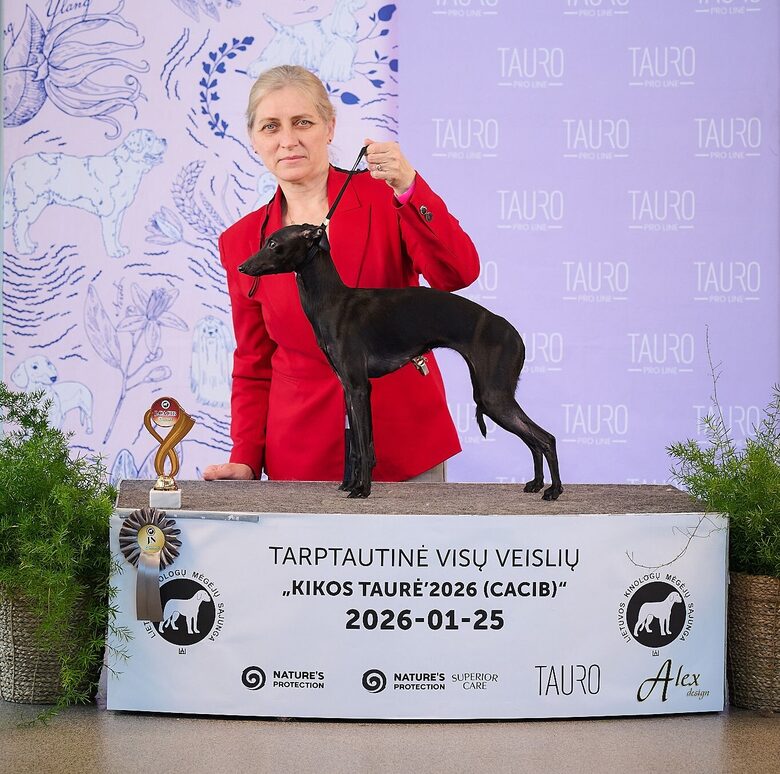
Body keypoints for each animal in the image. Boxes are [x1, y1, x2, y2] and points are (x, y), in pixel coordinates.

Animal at [3, 128, 167, 257]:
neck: (127, 166)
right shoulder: (110, 213)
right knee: (19, 225)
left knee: (23, 225)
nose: (165, 140)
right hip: (31, 201)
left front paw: (120, 248)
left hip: (37, 204)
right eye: (149, 139)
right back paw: (24, 249)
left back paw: (30, 245)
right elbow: (110, 234)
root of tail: (14, 165)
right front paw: (114, 252)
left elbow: (116, 233)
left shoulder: (119, 212)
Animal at [238, 224, 563, 500]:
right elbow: (357, 446)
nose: (242, 268)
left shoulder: (359, 387)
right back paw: (536, 484)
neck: (333, 302)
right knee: (533, 440)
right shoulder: (348, 388)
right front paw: (349, 485)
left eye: (272, 243)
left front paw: (362, 490)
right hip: (493, 395)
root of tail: (514, 334)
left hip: (493, 396)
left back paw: (554, 490)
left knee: (545, 438)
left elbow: (365, 445)